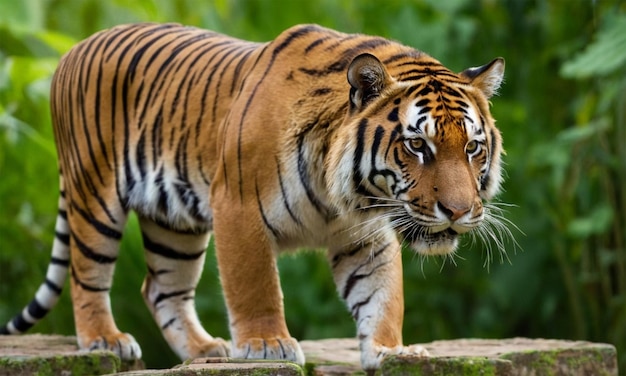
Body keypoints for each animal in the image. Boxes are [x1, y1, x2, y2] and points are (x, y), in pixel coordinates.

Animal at [0, 21, 502, 370]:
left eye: (472, 148)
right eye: (418, 146)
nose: (457, 211)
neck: (347, 196)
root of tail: (73, 48)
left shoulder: (366, 234)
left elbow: (381, 295)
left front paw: (392, 351)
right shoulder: (238, 208)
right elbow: (255, 283)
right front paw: (267, 345)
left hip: (175, 223)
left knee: (161, 288)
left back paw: (206, 350)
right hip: (94, 192)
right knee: (87, 273)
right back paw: (106, 339)